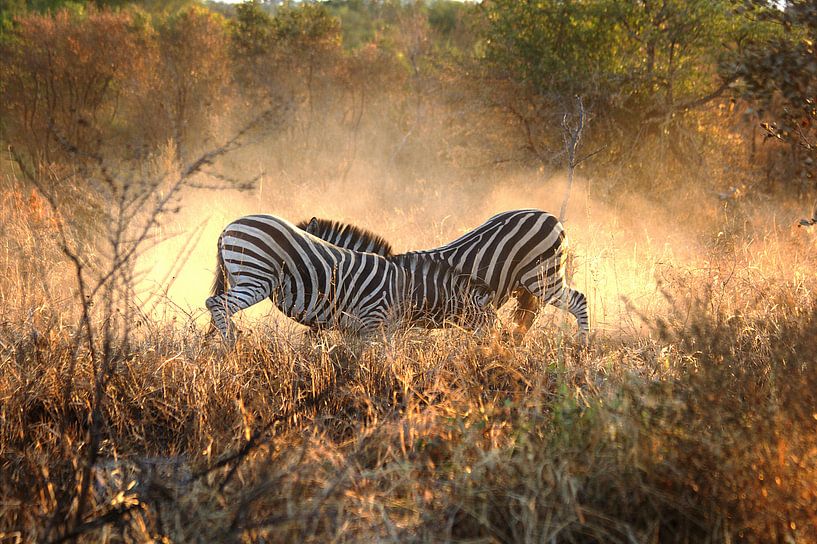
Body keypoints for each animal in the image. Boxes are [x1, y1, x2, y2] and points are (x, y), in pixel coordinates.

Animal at [206, 214, 494, 341]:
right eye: (486, 320)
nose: (494, 346)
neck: (406, 288)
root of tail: (227, 228)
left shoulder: (350, 328)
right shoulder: (374, 325)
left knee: (216, 305)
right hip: (256, 277)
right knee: (217, 304)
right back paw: (233, 342)